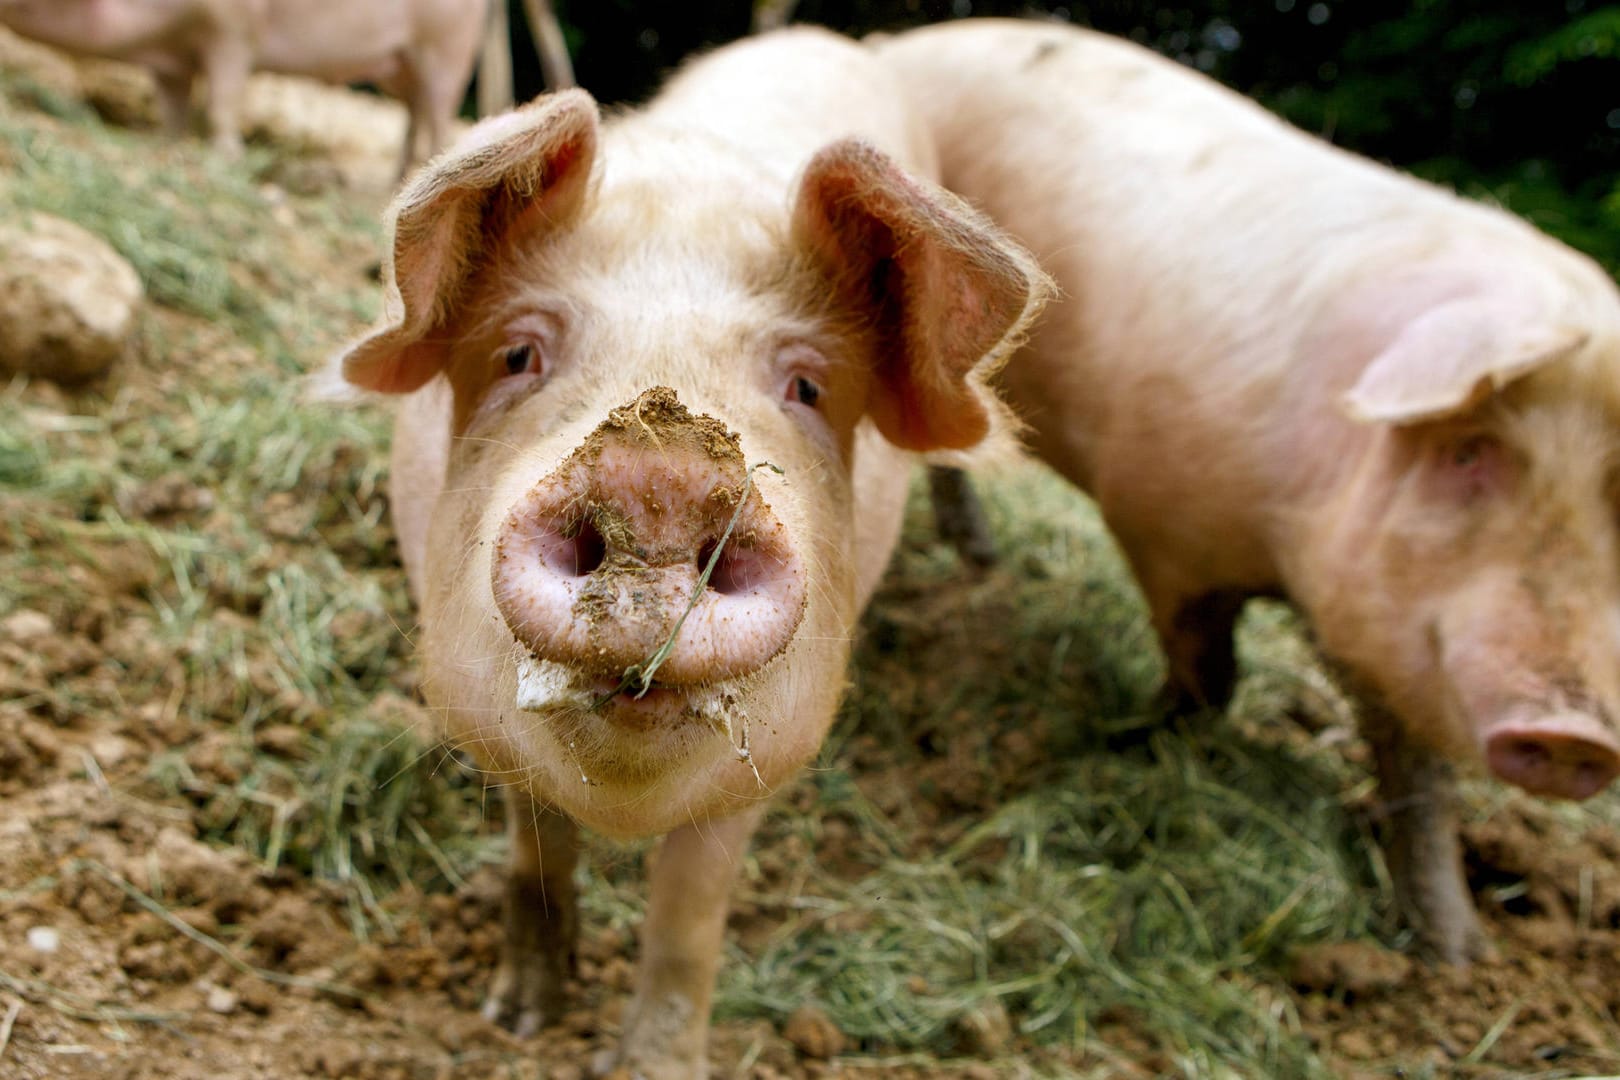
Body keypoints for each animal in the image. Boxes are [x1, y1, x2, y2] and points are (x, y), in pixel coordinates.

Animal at [0, 0, 482, 176]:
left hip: (446, 50)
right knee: (413, 113)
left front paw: (225, 156)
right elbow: (172, 108)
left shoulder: (232, 30)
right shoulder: (172, 62)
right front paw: (169, 145)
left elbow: (222, 101)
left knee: (438, 113)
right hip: (397, 70)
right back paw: (402, 178)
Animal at [881, 16, 1620, 965]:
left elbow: (1419, 781)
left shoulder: (1392, 631)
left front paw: (1457, 956)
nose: (1574, 735)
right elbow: (1208, 666)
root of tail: (904, 39)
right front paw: (1132, 736)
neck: (1285, 550)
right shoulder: (1159, 524)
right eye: (1470, 452)